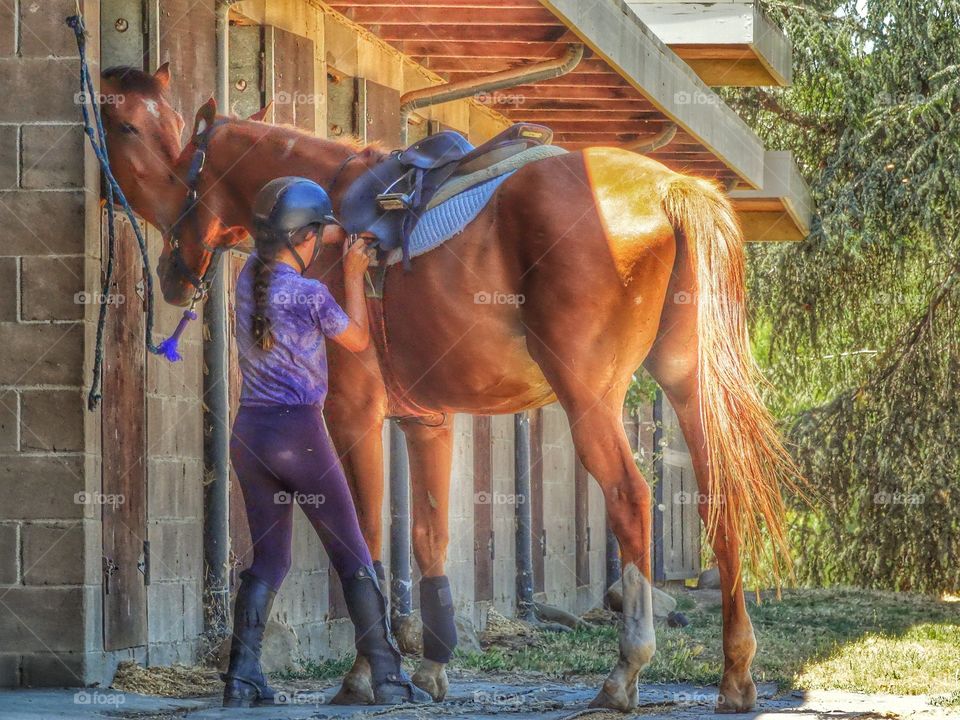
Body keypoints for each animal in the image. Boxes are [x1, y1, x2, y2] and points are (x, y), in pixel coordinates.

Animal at [99, 65, 798, 713]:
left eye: (176, 159)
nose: (170, 273)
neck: (327, 215)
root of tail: (672, 186)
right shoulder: (426, 421)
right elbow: (429, 537)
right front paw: (432, 666)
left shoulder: (353, 415)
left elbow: (365, 540)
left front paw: (366, 675)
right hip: (687, 387)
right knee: (719, 500)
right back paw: (736, 674)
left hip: (589, 400)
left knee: (630, 497)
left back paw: (625, 672)